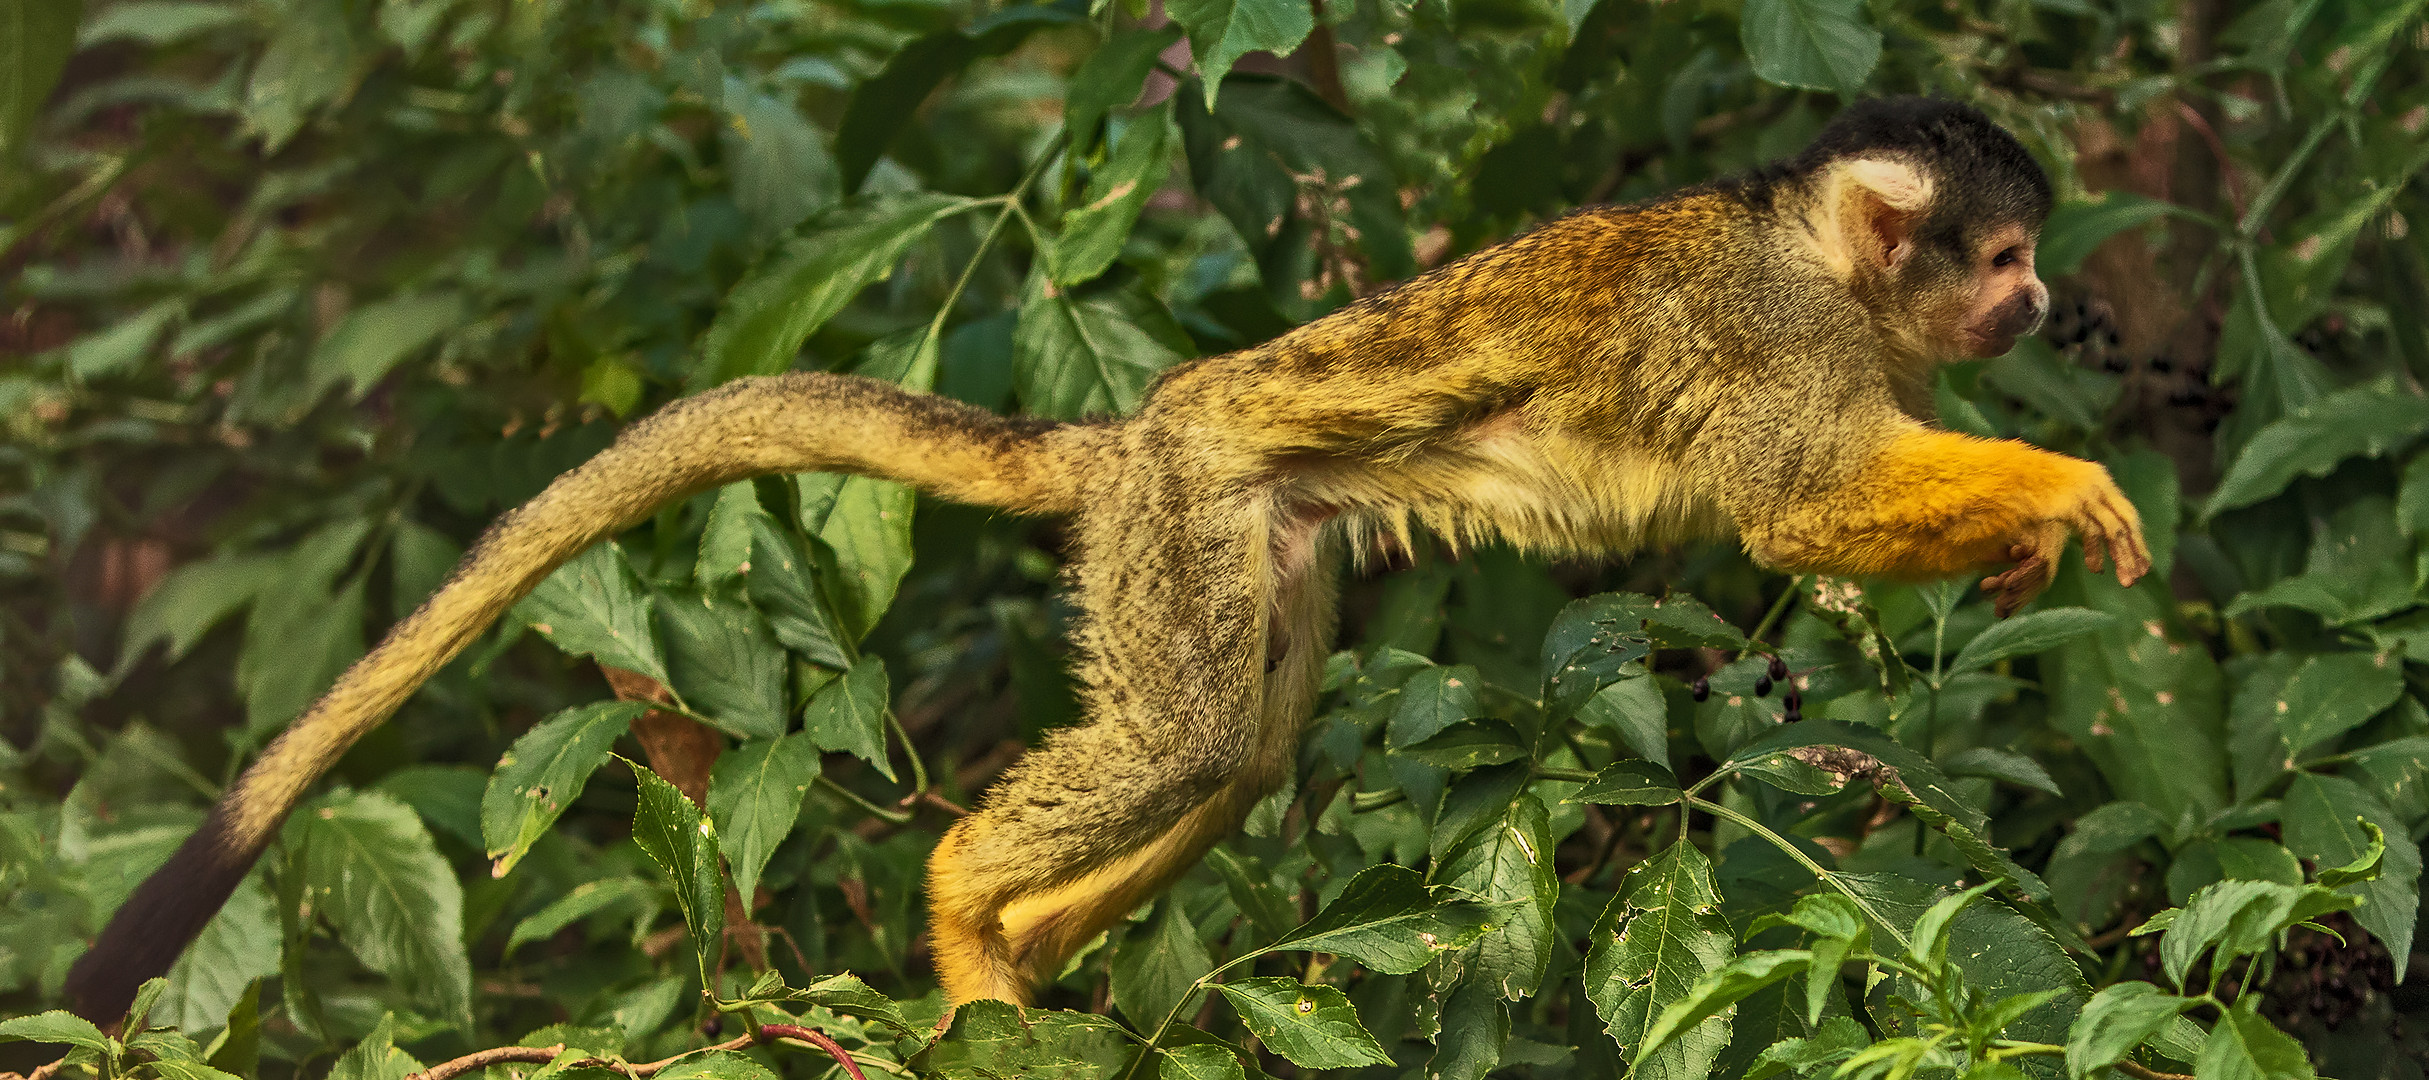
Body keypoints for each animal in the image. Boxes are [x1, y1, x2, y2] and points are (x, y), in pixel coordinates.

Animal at [61, 98, 2147, 1019]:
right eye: (1997, 253)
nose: (2042, 301)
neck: (1823, 274)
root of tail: (1125, 428)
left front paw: (2009, 540)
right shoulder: (1778, 336)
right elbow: (1784, 505)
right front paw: (2058, 489)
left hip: (1244, 546)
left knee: (1235, 750)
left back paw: (1036, 939)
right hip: (1180, 521)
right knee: (1184, 741)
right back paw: (967, 920)